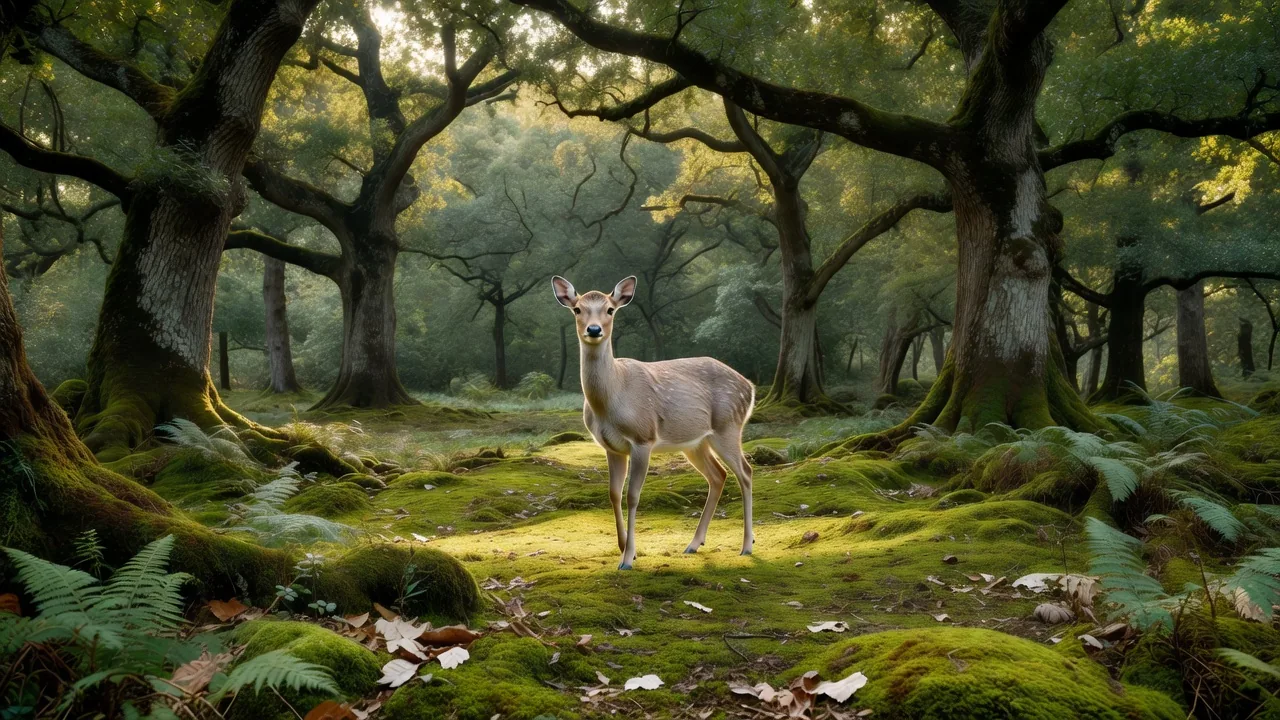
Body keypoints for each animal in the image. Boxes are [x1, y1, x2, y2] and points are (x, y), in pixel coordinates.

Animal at [552, 275, 755, 570]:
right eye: (577, 309)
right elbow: (613, 493)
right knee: (718, 475)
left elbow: (632, 495)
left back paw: (747, 546)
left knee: (746, 472)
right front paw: (625, 548)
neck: (613, 398)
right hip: (695, 442)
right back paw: (693, 544)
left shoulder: (643, 437)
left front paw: (628, 559)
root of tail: (750, 386)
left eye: (610, 310)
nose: (594, 329)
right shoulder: (611, 447)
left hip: (728, 426)